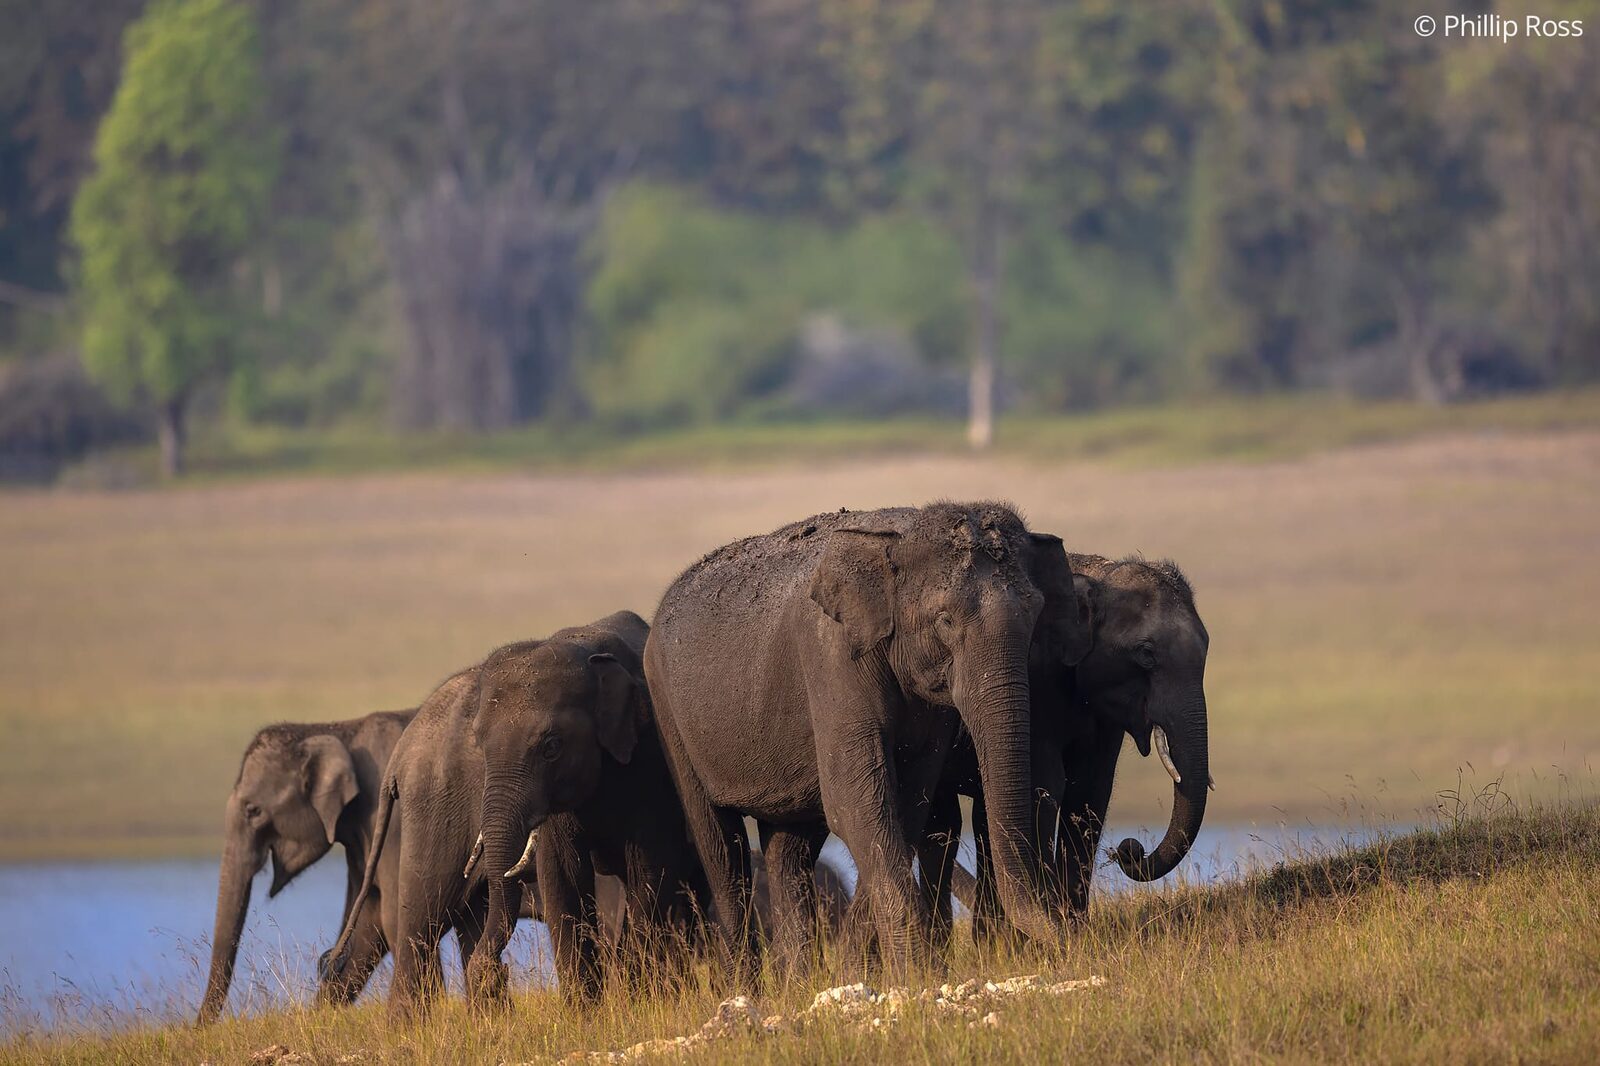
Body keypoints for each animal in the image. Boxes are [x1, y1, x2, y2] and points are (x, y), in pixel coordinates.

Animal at [197, 707, 415, 1024]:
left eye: (253, 810)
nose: (197, 1028)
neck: (336, 729)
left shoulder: (391, 826)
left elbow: (393, 914)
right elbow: (369, 919)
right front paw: (322, 1016)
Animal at [464, 610, 713, 1005]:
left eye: (551, 746)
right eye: (479, 742)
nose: (496, 975)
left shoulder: (651, 763)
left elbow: (649, 869)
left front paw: (633, 1000)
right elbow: (562, 877)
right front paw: (586, 1009)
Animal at [643, 503, 1089, 977]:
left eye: (1036, 614)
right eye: (945, 620)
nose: (1068, 938)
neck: (900, 534)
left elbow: (906, 806)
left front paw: (862, 973)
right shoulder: (829, 657)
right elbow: (856, 804)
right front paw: (918, 975)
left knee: (789, 851)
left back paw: (798, 982)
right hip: (668, 712)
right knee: (722, 849)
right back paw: (746, 985)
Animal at [922, 552, 1212, 941]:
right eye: (1146, 654)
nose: (1129, 850)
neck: (1097, 577)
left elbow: (1090, 793)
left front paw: (1074, 932)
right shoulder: (1034, 682)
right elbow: (1045, 788)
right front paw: (1050, 936)